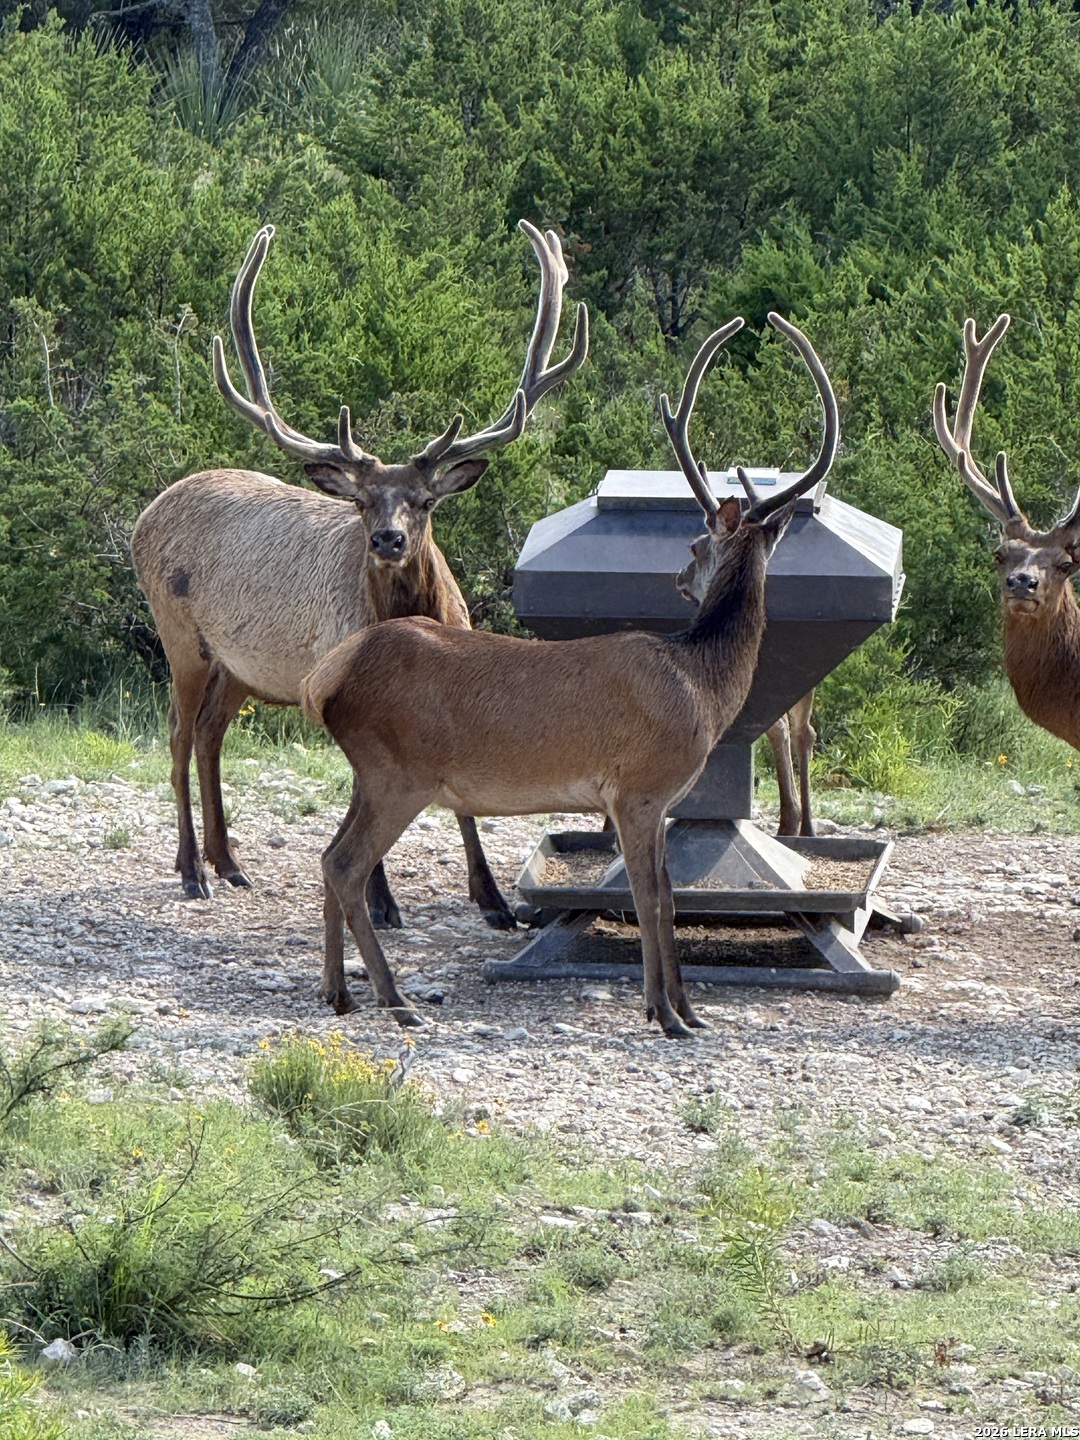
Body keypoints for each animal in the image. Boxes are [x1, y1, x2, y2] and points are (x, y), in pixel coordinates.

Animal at [131, 221, 587, 924]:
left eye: (424, 501)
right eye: (361, 500)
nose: (387, 538)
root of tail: (145, 516)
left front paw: (492, 900)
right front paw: (380, 901)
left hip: (240, 666)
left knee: (208, 734)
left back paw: (228, 862)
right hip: (180, 635)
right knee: (178, 735)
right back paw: (190, 871)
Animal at [299, 312, 839, 1036]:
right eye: (695, 541)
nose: (678, 576)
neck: (701, 685)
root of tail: (326, 679)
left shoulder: (658, 800)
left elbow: (668, 898)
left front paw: (689, 1010)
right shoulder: (639, 787)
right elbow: (648, 898)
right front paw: (663, 1011)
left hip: (370, 770)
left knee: (330, 857)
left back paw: (339, 990)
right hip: (397, 772)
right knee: (346, 863)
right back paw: (393, 996)